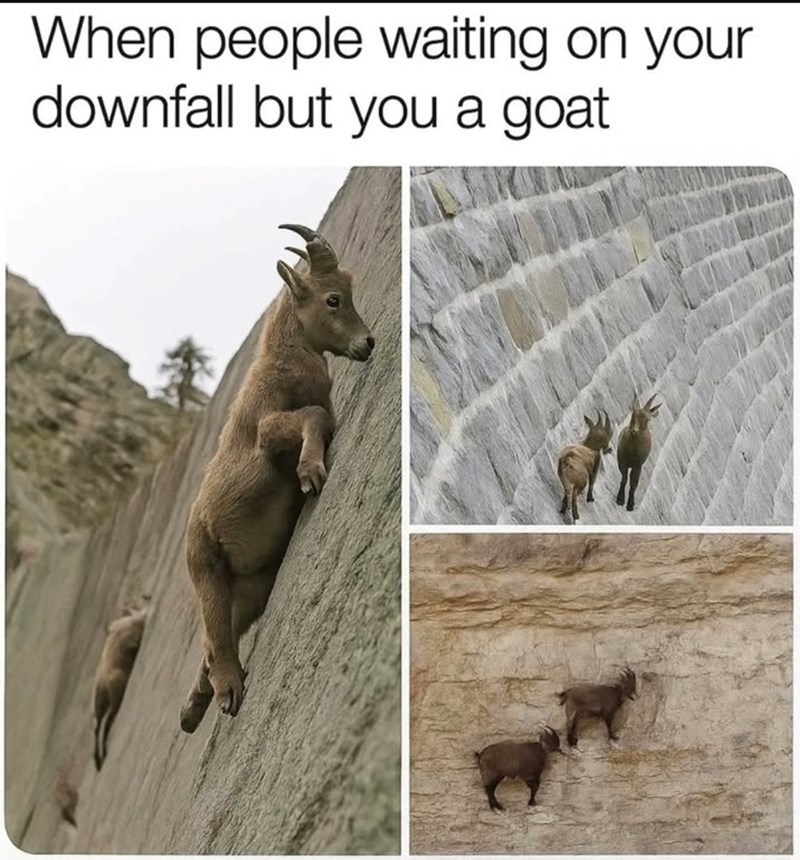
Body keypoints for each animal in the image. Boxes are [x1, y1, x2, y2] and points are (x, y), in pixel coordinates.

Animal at [92, 606, 148, 770]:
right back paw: (101, 756)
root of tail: (103, 683)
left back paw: (99, 759)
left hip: (100, 703)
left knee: (98, 725)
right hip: (114, 697)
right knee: (105, 723)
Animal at [180, 224, 374, 734]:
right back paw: (227, 693)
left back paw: (193, 708)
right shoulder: (268, 432)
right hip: (207, 568)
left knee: (215, 643)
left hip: (252, 586)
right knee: (217, 639)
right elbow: (311, 417)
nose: (368, 343)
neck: (283, 362)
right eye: (332, 298)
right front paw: (310, 474)